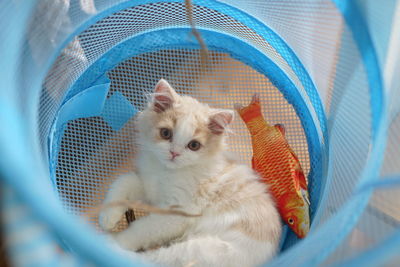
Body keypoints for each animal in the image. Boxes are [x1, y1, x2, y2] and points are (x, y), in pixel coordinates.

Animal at [99, 79, 282, 267]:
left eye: (194, 145)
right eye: (166, 133)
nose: (174, 153)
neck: (166, 172)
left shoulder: (178, 213)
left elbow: (139, 230)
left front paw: (113, 240)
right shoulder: (148, 184)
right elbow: (123, 181)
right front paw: (107, 217)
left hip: (195, 250)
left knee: (151, 260)